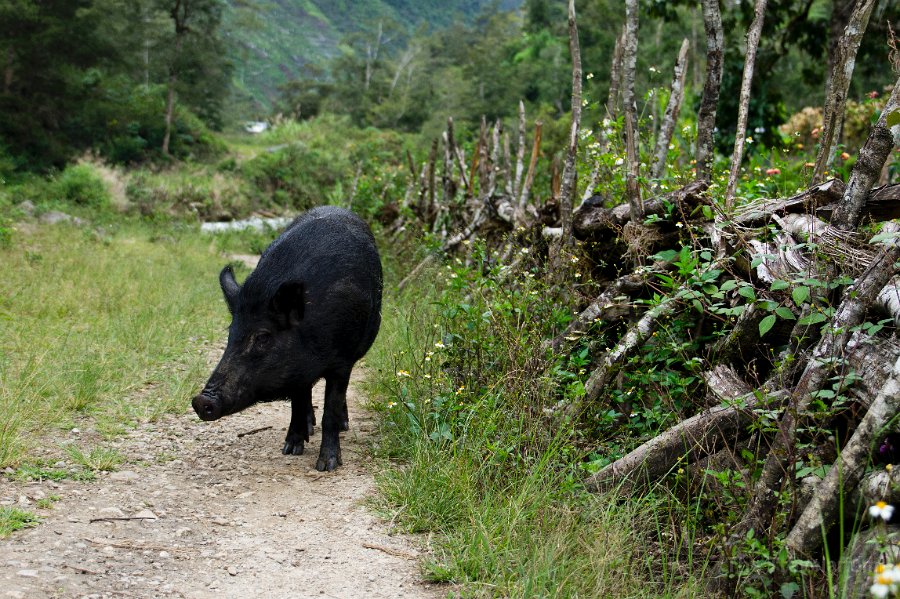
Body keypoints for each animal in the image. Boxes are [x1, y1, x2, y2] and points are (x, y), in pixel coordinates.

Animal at [192, 206, 382, 474]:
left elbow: (331, 407)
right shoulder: (297, 370)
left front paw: (327, 466)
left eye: (263, 336)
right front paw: (290, 449)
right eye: (231, 333)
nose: (201, 400)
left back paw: (343, 426)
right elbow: (297, 401)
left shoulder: (342, 361)